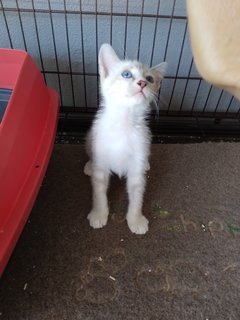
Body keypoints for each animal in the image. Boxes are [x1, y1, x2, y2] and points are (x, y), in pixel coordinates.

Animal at [85, 43, 167, 235]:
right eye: (126, 74)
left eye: (150, 78)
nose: (143, 83)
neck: (125, 121)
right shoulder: (101, 159)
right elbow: (99, 189)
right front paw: (99, 213)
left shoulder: (137, 162)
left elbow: (137, 191)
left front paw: (135, 219)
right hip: (90, 137)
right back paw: (89, 165)